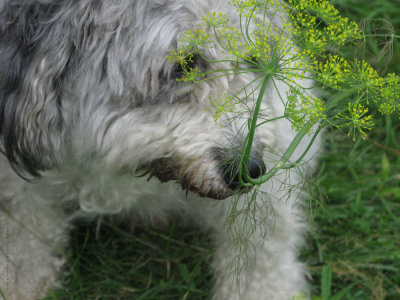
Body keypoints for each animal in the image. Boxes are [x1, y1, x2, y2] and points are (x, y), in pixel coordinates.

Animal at [0, 0, 318, 300]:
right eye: (182, 65)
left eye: (253, 58)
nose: (249, 170)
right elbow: (25, 232)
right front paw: (20, 281)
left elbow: (262, 243)